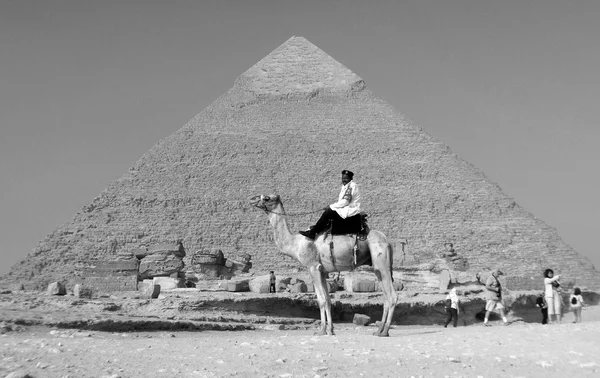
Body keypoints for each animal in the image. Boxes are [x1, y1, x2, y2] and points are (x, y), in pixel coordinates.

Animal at [248, 195, 398, 336]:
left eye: (267, 198)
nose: (252, 199)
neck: (295, 244)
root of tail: (387, 241)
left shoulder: (313, 267)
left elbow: (321, 300)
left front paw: (321, 331)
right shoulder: (323, 271)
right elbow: (328, 300)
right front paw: (330, 330)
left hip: (381, 261)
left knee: (392, 296)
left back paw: (384, 331)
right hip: (377, 267)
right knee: (385, 297)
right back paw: (379, 330)